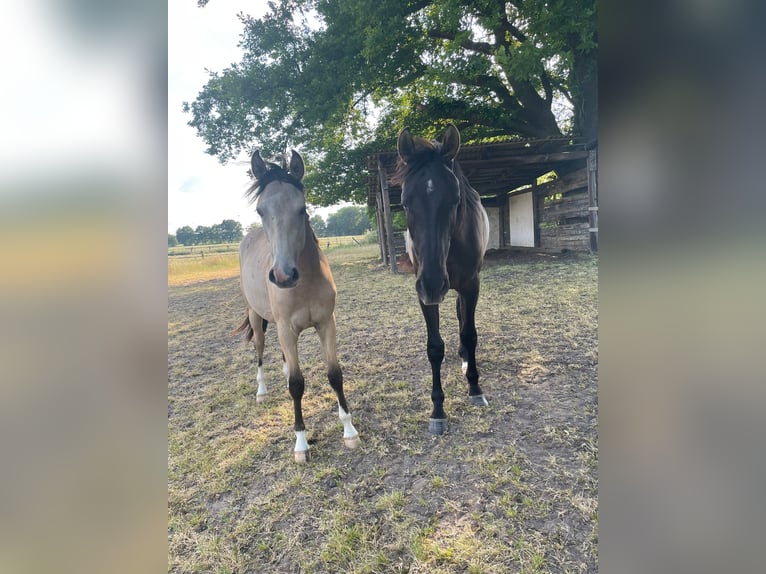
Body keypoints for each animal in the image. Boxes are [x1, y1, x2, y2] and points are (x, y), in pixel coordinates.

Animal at [396, 124, 492, 434]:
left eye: (454, 200)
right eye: (404, 203)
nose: (434, 283)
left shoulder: (471, 285)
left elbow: (470, 333)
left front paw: (475, 388)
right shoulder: (423, 294)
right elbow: (435, 347)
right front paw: (437, 410)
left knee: (463, 317)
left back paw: (464, 358)